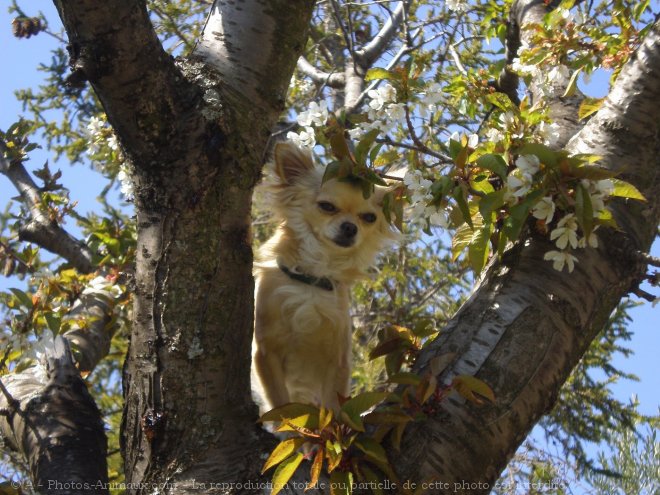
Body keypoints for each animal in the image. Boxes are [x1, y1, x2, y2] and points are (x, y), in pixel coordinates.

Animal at [251, 141, 398, 412]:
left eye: (369, 218)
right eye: (327, 207)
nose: (350, 227)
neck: (313, 276)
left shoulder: (337, 361)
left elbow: (334, 405)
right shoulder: (266, 353)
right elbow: (280, 405)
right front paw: (287, 423)